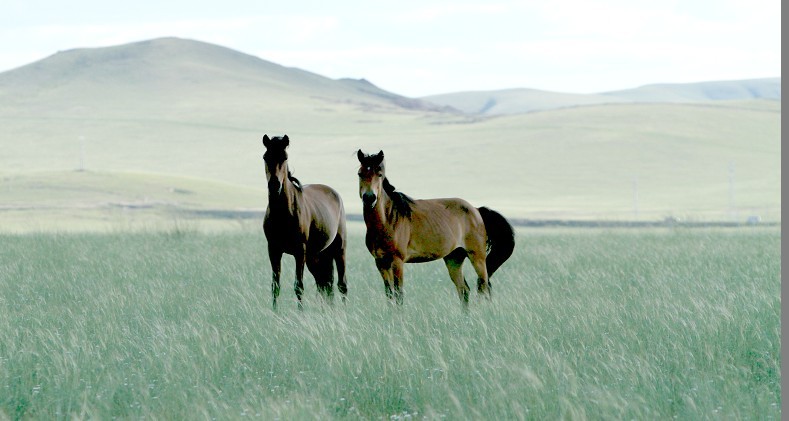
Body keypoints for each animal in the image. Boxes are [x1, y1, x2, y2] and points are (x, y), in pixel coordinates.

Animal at [262, 135, 344, 308]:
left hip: (339, 248)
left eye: (285, 157)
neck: (283, 213)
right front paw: (274, 311)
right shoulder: (273, 250)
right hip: (316, 256)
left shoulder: (300, 251)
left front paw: (301, 312)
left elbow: (298, 286)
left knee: (342, 284)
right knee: (324, 284)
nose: (274, 185)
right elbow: (275, 285)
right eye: (265, 157)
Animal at [358, 151, 516, 306]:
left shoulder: (397, 261)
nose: (369, 198)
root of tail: (477, 210)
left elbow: (398, 296)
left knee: (485, 286)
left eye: (379, 174)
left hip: (477, 257)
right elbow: (389, 295)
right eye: (360, 173)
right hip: (454, 258)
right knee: (464, 290)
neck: (388, 220)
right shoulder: (381, 263)